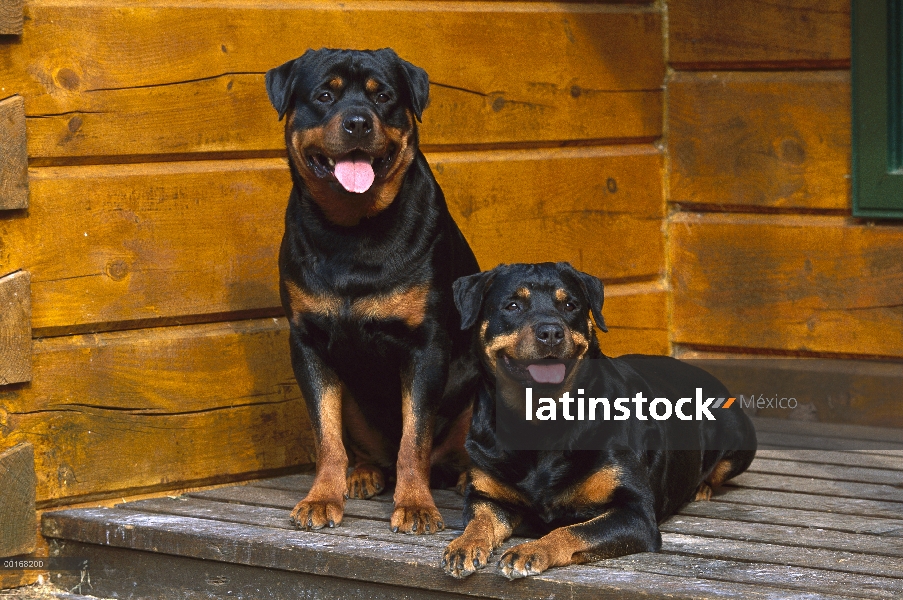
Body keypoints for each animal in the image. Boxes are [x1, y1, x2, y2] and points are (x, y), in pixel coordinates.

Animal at [264, 48, 480, 536]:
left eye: (382, 97)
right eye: (325, 95)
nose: (359, 122)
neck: (353, 228)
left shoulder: (426, 345)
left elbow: (413, 439)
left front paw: (416, 505)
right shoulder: (308, 343)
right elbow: (326, 435)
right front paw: (323, 496)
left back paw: (463, 477)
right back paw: (362, 474)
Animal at [442, 262, 760, 576]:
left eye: (570, 305)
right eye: (512, 305)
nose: (551, 332)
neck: (540, 421)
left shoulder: (635, 514)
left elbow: (572, 531)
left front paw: (531, 550)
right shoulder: (488, 498)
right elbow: (479, 520)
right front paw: (464, 544)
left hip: (738, 436)